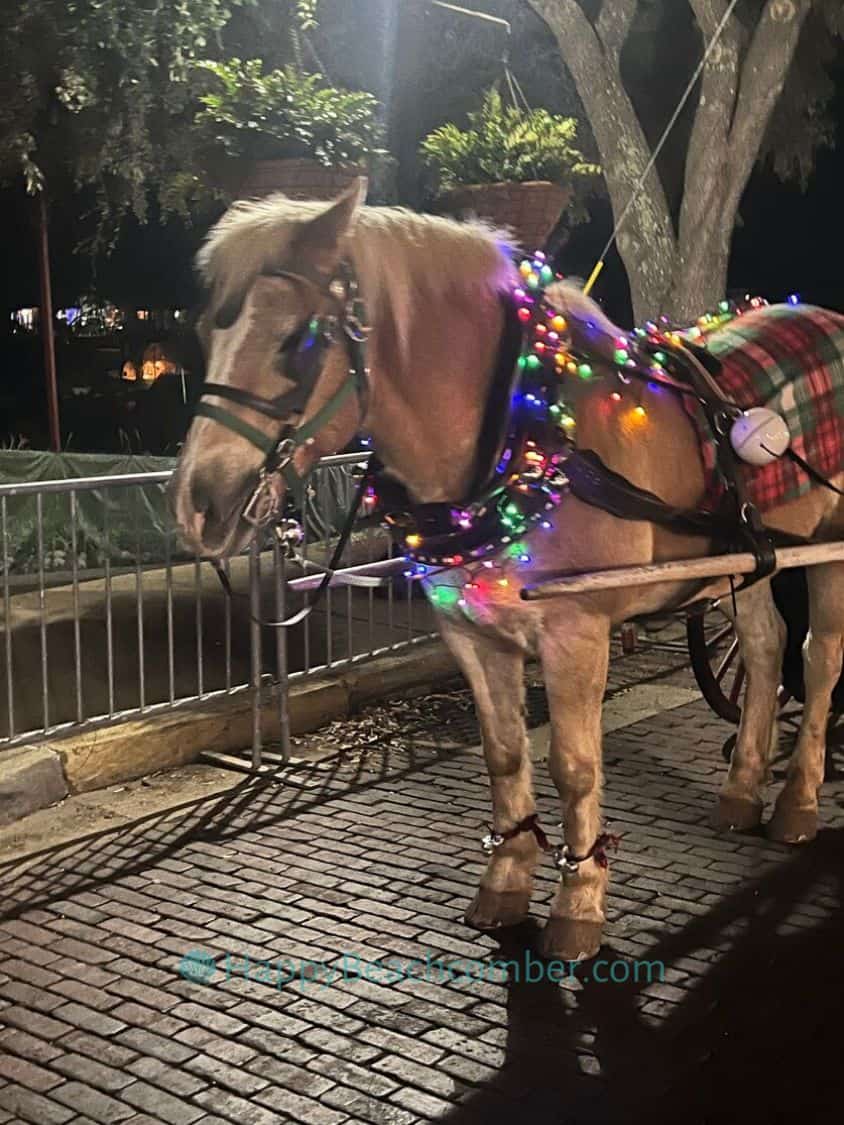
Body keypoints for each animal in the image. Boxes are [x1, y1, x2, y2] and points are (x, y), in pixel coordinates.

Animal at [168, 182, 844, 958]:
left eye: (296, 343)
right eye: (202, 331)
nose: (197, 503)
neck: (527, 427)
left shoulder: (576, 631)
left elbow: (572, 766)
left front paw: (579, 902)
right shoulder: (471, 630)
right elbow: (504, 753)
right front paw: (507, 878)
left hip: (828, 551)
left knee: (818, 658)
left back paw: (798, 800)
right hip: (747, 560)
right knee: (764, 648)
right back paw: (740, 789)